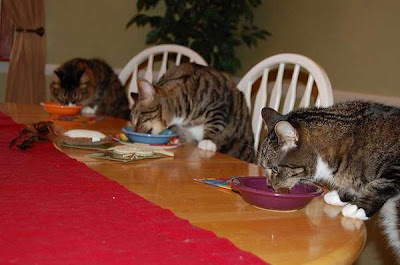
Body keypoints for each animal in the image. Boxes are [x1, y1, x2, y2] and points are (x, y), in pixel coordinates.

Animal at [258, 100, 400, 256]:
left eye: (275, 169)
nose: (269, 185)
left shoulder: (396, 168)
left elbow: (380, 184)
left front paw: (358, 207)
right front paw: (340, 196)